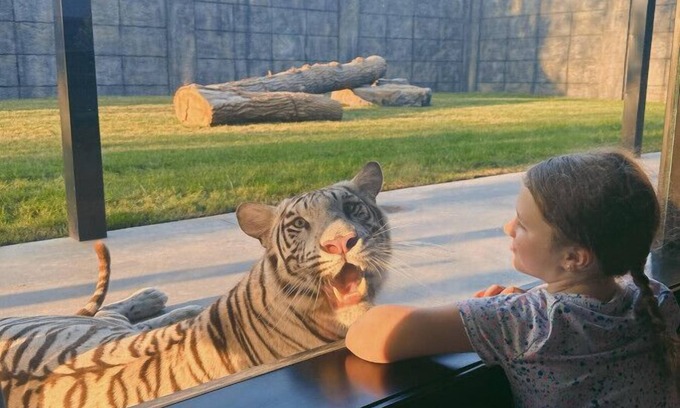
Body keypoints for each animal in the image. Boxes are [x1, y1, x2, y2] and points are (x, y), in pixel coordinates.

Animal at [0, 161, 391, 407]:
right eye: (299, 224)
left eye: (353, 208)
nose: (340, 243)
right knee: (109, 312)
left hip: (98, 330)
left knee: (119, 317)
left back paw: (169, 302)